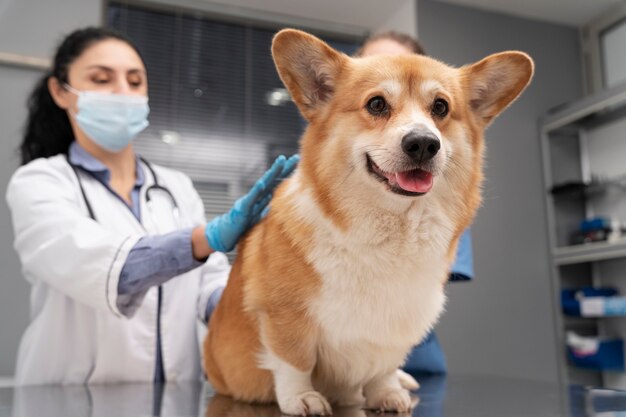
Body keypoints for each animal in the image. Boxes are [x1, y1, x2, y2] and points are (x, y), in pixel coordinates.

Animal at [204, 27, 532, 414]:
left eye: (440, 107)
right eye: (376, 104)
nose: (423, 143)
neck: (391, 228)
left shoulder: (394, 328)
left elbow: (383, 365)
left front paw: (387, 391)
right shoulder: (283, 315)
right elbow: (295, 361)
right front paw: (301, 397)